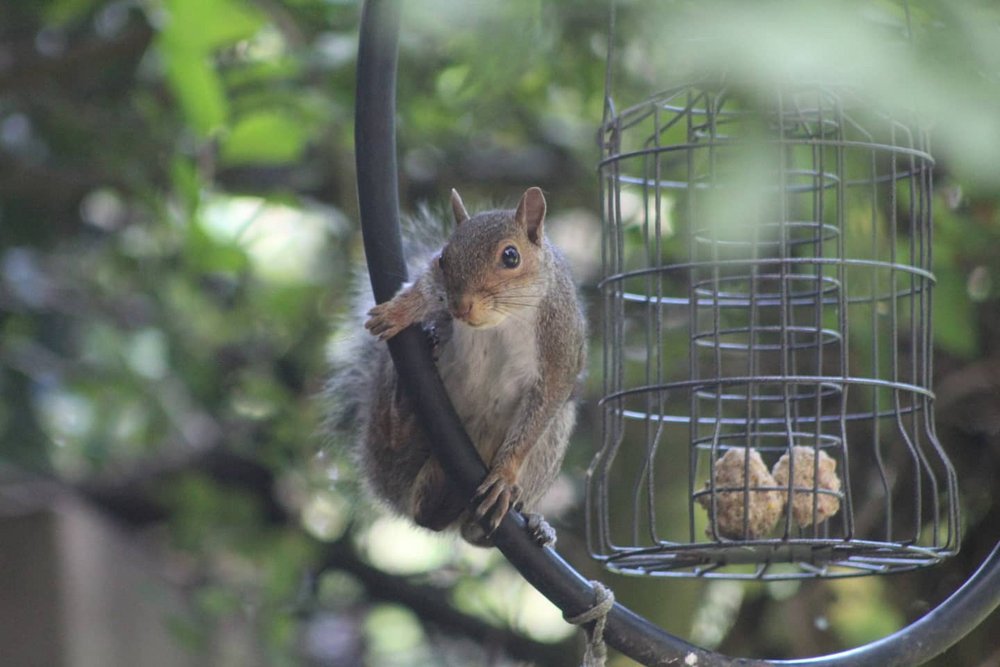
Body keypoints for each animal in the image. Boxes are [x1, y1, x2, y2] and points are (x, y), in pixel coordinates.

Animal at [332, 185, 584, 544]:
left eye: (511, 256)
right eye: (442, 259)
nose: (461, 306)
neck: (501, 321)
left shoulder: (559, 348)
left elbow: (539, 414)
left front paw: (504, 476)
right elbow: (427, 288)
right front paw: (401, 309)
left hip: (555, 435)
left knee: (470, 530)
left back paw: (531, 521)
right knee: (397, 442)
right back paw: (405, 401)